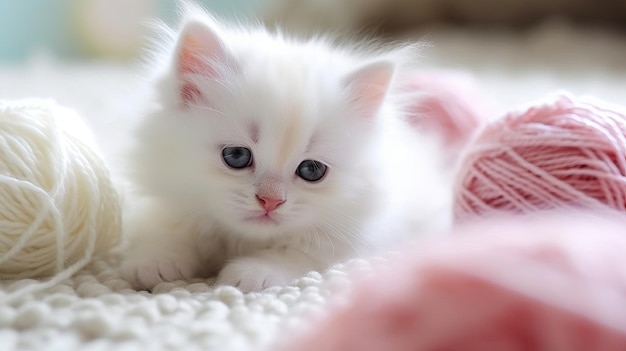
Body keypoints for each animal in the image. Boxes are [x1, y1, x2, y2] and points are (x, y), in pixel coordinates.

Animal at [118, 4, 448, 292]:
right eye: (236, 156)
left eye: (312, 170)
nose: (270, 201)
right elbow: (169, 227)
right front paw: (155, 261)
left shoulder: (353, 240)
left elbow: (296, 253)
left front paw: (252, 272)